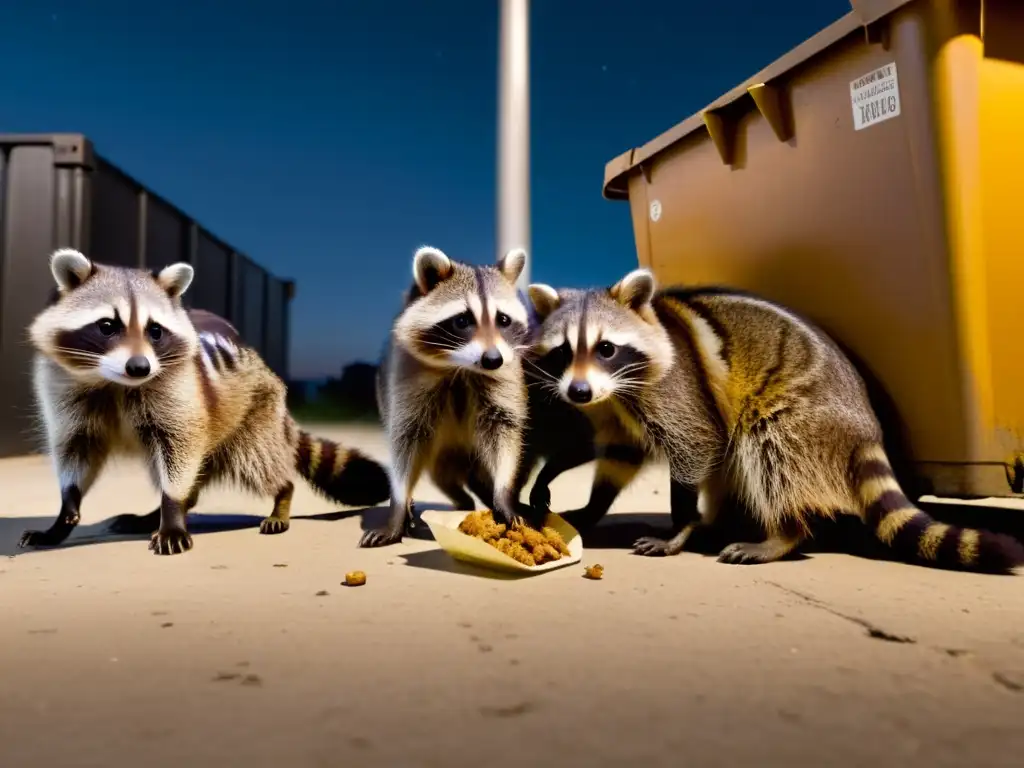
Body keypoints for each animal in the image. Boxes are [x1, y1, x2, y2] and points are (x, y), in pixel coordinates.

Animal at [24, 249, 391, 557]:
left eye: (155, 330)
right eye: (106, 326)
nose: (139, 367)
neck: (115, 383)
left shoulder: (181, 396)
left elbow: (180, 451)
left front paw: (172, 511)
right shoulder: (68, 396)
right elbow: (75, 449)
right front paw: (66, 510)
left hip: (256, 414)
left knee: (258, 460)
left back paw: (281, 496)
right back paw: (154, 514)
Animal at [362, 244, 536, 548]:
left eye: (503, 319)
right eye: (462, 320)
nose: (493, 359)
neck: (462, 368)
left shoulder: (505, 377)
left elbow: (503, 434)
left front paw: (503, 494)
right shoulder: (407, 377)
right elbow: (405, 442)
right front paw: (398, 506)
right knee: (442, 475)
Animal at [528, 268, 1024, 573]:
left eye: (606, 348)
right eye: (563, 351)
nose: (577, 393)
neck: (616, 386)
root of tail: (867, 426)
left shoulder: (674, 390)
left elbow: (697, 445)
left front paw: (680, 525)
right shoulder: (613, 406)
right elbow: (615, 453)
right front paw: (579, 494)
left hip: (801, 414)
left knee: (767, 446)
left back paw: (782, 534)